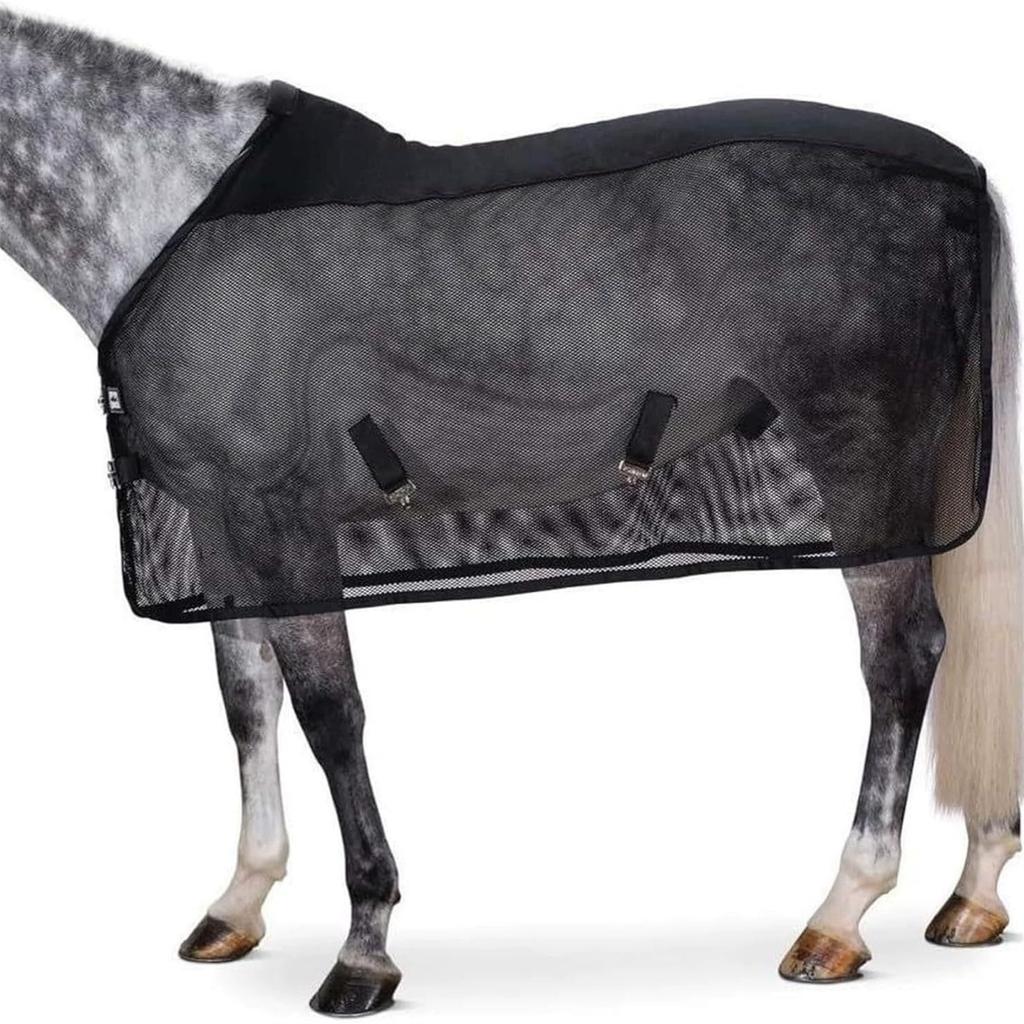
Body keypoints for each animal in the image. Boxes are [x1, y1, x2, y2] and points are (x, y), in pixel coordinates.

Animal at [0, 8, 1020, 1017]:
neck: (163, 205)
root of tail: (961, 174)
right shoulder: (220, 522)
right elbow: (247, 700)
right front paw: (238, 902)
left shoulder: (280, 511)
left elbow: (330, 712)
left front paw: (364, 948)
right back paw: (972, 893)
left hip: (864, 456)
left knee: (902, 655)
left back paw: (840, 915)